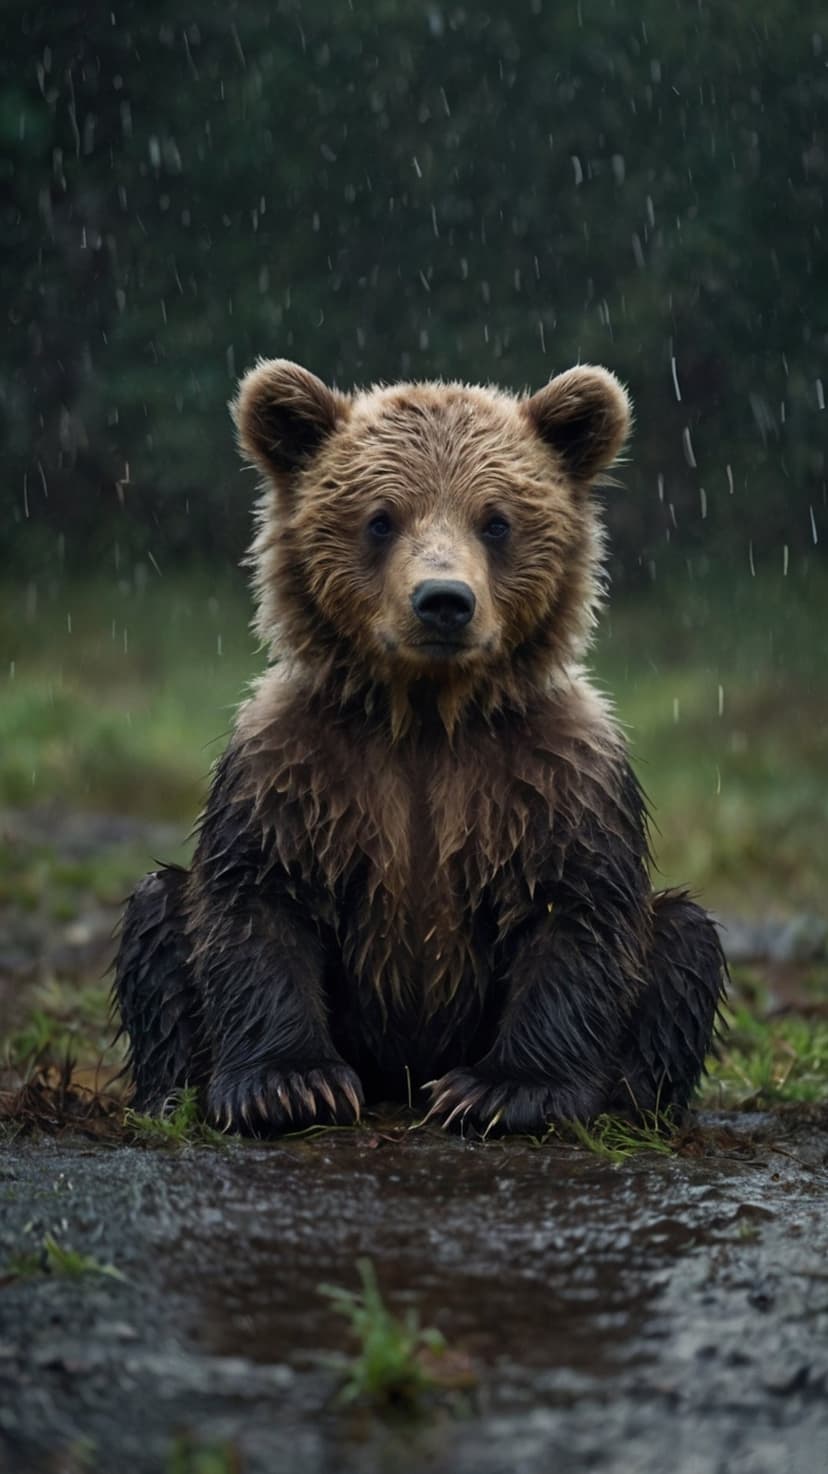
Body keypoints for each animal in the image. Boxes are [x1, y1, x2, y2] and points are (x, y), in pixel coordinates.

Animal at [114, 358, 726, 1136]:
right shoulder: (293, 762)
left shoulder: (557, 771)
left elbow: (575, 912)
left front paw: (503, 1091)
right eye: (380, 519)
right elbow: (257, 898)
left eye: (496, 521)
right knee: (158, 914)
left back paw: (631, 1101)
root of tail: (396, 1079)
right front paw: (289, 1085)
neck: (427, 713)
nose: (443, 600)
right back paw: (171, 1093)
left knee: (683, 938)